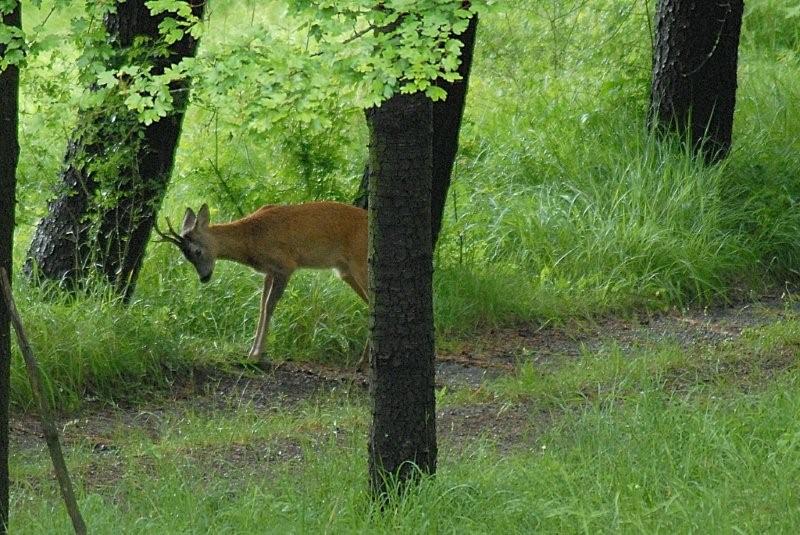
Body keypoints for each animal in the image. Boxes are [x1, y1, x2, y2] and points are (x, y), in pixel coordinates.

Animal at [155, 201, 368, 368]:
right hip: (346, 271)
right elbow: (261, 307)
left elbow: (269, 306)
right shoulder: (269, 272)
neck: (250, 239)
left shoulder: (285, 264)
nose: (204, 277)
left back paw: (362, 361)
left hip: (360, 262)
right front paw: (251, 353)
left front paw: (256, 355)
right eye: (186, 257)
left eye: (197, 251)